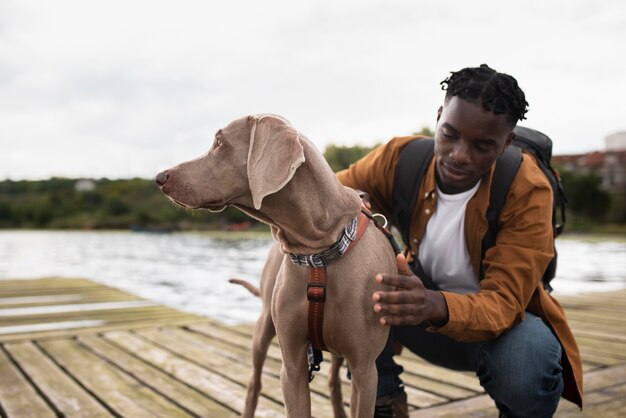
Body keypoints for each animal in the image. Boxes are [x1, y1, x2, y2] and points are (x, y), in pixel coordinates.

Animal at [158, 114, 398, 418]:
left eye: (220, 142)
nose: (159, 177)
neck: (319, 251)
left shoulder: (365, 369)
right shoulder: (293, 365)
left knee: (333, 383)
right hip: (263, 328)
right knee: (254, 382)